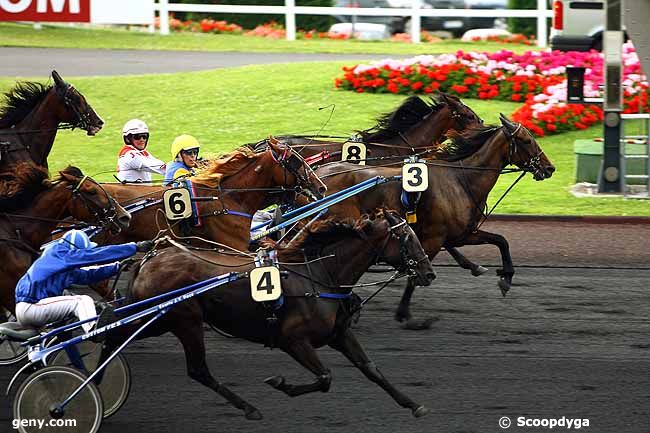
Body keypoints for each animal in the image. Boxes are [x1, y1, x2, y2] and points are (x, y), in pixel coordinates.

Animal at [110, 208, 436, 418]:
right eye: (408, 237)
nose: (429, 273)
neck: (319, 275)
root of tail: (151, 258)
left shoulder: (338, 334)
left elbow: (371, 369)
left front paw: (412, 404)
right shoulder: (292, 340)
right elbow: (325, 378)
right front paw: (281, 384)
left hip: (159, 320)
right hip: (183, 321)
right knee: (197, 369)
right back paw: (249, 408)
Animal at [312, 115, 552, 324]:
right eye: (527, 140)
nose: (549, 168)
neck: (461, 180)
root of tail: (318, 175)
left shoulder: (463, 234)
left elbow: (501, 241)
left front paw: (505, 278)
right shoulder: (435, 238)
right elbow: (415, 272)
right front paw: (403, 312)